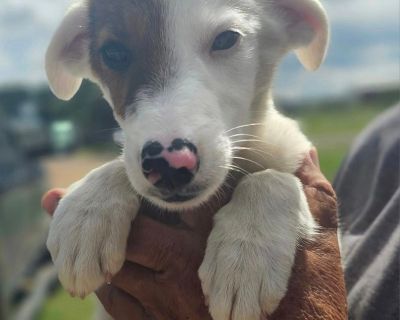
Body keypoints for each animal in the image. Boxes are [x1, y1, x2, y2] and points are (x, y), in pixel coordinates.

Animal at [46, 1, 328, 318]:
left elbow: (271, 179)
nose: (168, 164)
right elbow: (120, 165)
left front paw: (245, 254)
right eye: (113, 53)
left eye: (226, 39)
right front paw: (86, 212)